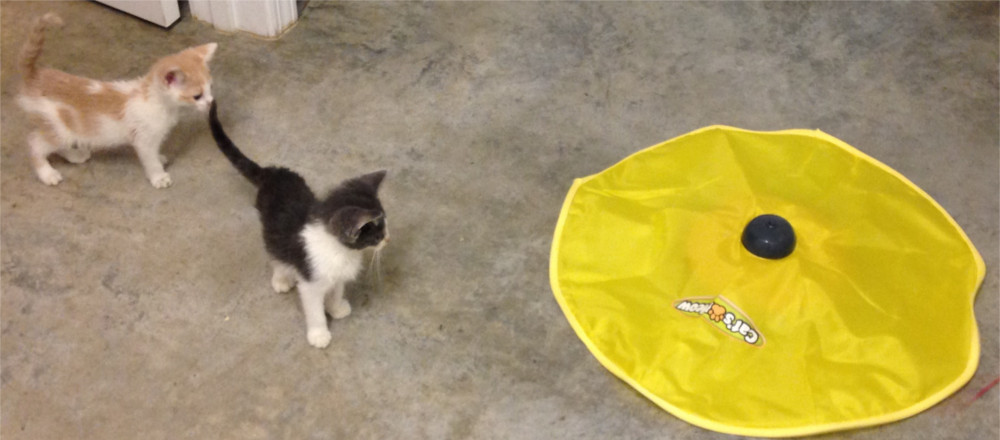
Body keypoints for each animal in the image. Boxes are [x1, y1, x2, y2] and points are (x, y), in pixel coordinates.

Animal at [16, 13, 217, 188]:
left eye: (210, 88)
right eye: (197, 96)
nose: (210, 102)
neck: (155, 101)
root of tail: (34, 75)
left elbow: (153, 154)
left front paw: (159, 158)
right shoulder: (143, 138)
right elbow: (149, 158)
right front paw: (158, 176)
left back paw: (74, 155)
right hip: (59, 127)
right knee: (35, 144)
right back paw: (47, 173)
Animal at [208, 101, 389, 348]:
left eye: (384, 226)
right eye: (377, 234)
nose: (387, 238)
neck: (340, 251)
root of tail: (273, 172)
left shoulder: (337, 275)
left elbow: (336, 291)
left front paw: (336, 308)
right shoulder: (311, 282)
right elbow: (314, 310)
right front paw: (319, 334)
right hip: (271, 229)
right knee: (275, 252)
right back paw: (281, 278)